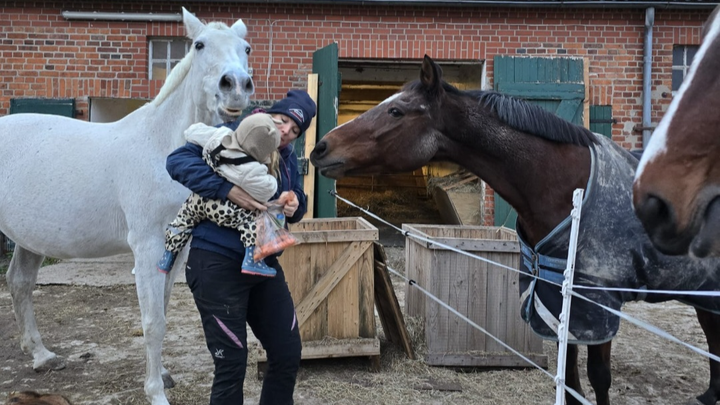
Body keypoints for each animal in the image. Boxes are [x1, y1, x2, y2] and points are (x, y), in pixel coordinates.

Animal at [0, 8, 254, 405]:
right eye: (199, 45)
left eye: (245, 48)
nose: (236, 86)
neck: (161, 148)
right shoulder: (147, 246)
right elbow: (153, 322)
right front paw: (155, 392)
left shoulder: (176, 247)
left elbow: (161, 310)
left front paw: (162, 375)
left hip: (30, 238)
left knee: (20, 283)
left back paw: (42, 356)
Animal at [310, 55, 720, 405]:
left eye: (396, 110)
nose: (321, 147)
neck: (567, 186)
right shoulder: (559, 298)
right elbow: (571, 380)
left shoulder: (599, 305)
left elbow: (598, 378)